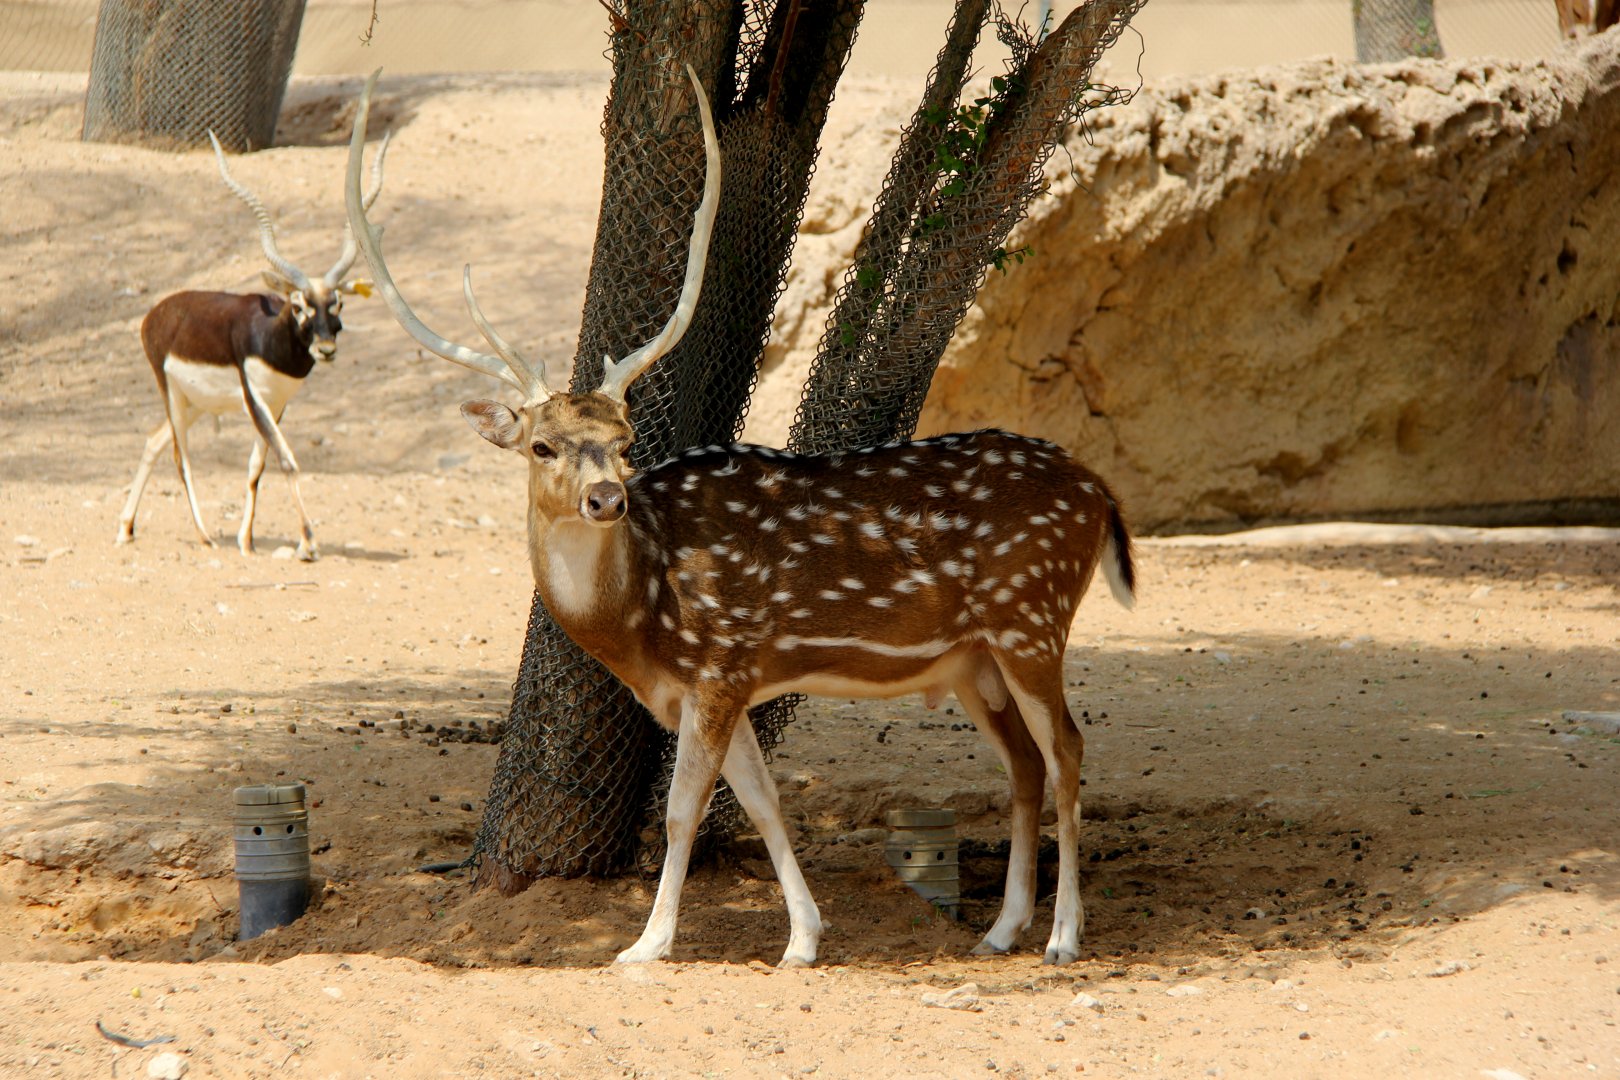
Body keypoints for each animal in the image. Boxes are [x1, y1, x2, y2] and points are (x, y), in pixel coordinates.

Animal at [115, 128, 391, 562]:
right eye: (298, 305)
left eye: (338, 303)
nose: (326, 349)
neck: (271, 338)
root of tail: (157, 312)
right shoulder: (253, 398)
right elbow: (287, 460)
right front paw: (307, 543)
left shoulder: (278, 403)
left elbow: (257, 466)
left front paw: (247, 541)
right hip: (170, 392)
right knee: (179, 454)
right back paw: (204, 535)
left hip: (195, 402)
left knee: (153, 440)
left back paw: (126, 528)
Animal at [345, 66, 1135, 968]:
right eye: (542, 445)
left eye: (622, 441)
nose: (606, 499)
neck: (642, 621)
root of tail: (1101, 492)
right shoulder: (726, 680)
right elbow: (761, 800)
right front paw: (803, 938)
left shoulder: (719, 664)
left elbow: (683, 809)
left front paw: (646, 944)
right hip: (976, 659)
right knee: (1026, 766)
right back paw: (1001, 930)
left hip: (1031, 617)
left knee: (1068, 751)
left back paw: (1064, 936)